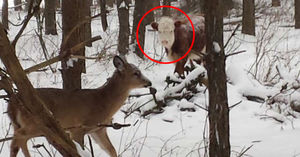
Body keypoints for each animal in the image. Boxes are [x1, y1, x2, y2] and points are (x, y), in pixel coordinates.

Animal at [7, 56, 152, 157]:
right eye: (136, 73)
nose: (149, 82)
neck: (103, 102)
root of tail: (12, 103)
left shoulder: (98, 130)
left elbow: (112, 150)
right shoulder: (78, 127)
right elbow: (79, 148)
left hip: (20, 124)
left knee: (17, 142)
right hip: (37, 123)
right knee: (19, 138)